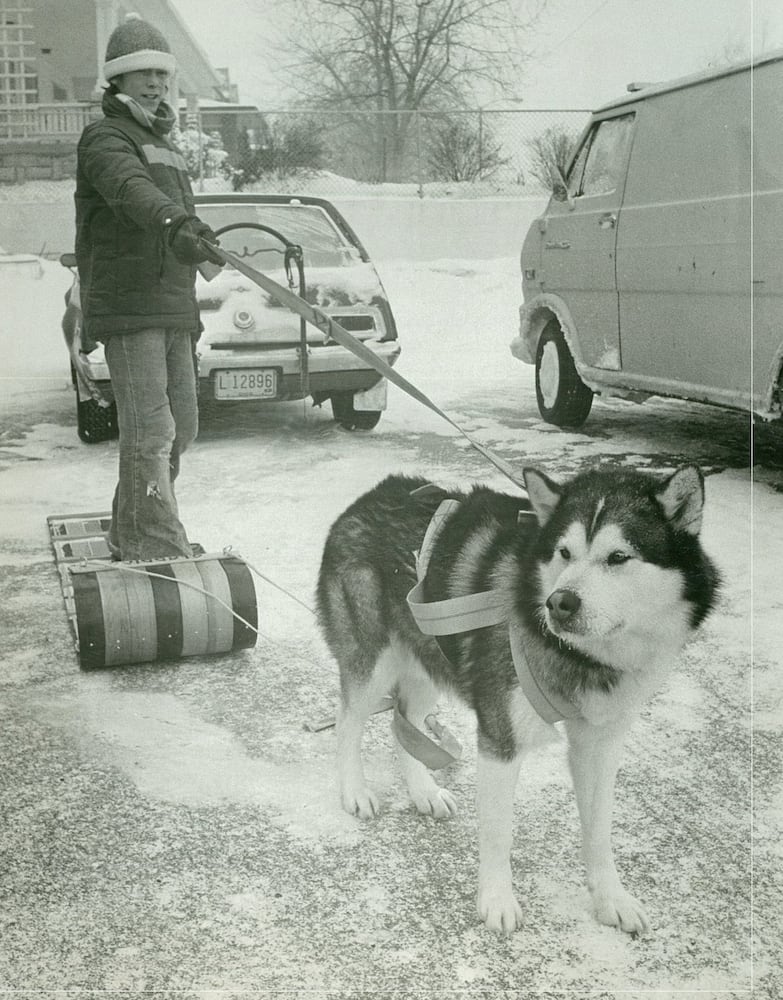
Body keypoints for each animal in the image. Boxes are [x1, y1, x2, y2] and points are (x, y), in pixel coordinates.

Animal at [316, 468, 720, 936]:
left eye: (618, 557)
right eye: (564, 552)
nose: (559, 602)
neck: (579, 657)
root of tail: (378, 490)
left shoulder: (600, 745)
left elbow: (600, 830)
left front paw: (611, 898)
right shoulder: (500, 739)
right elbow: (498, 832)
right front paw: (496, 901)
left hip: (429, 653)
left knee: (406, 720)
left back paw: (423, 790)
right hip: (375, 658)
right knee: (349, 721)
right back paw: (355, 790)